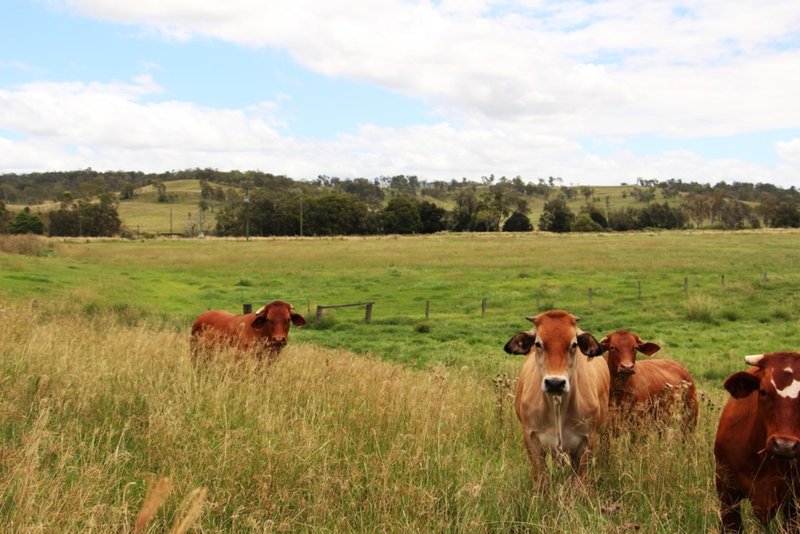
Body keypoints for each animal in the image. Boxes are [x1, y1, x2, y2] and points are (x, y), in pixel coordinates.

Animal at [504, 312, 608, 480]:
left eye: (574, 344)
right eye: (538, 343)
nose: (555, 383)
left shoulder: (586, 441)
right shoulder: (531, 439)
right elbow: (541, 477)